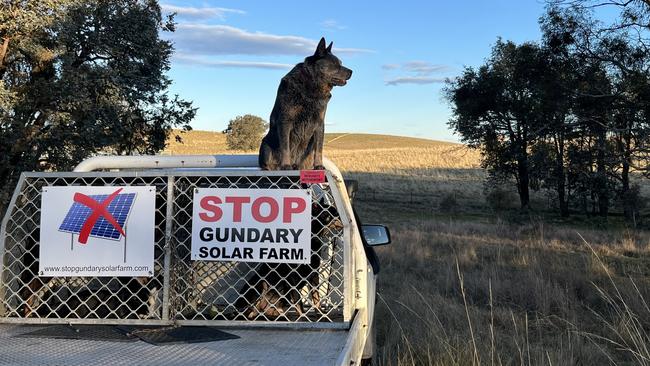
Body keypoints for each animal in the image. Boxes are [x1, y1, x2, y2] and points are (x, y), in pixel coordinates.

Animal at [256, 36, 352, 171]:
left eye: (341, 63)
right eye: (335, 64)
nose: (352, 71)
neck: (312, 86)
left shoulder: (319, 123)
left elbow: (319, 149)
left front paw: (319, 165)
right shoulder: (285, 120)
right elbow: (285, 146)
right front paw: (286, 165)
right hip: (265, 146)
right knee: (269, 164)